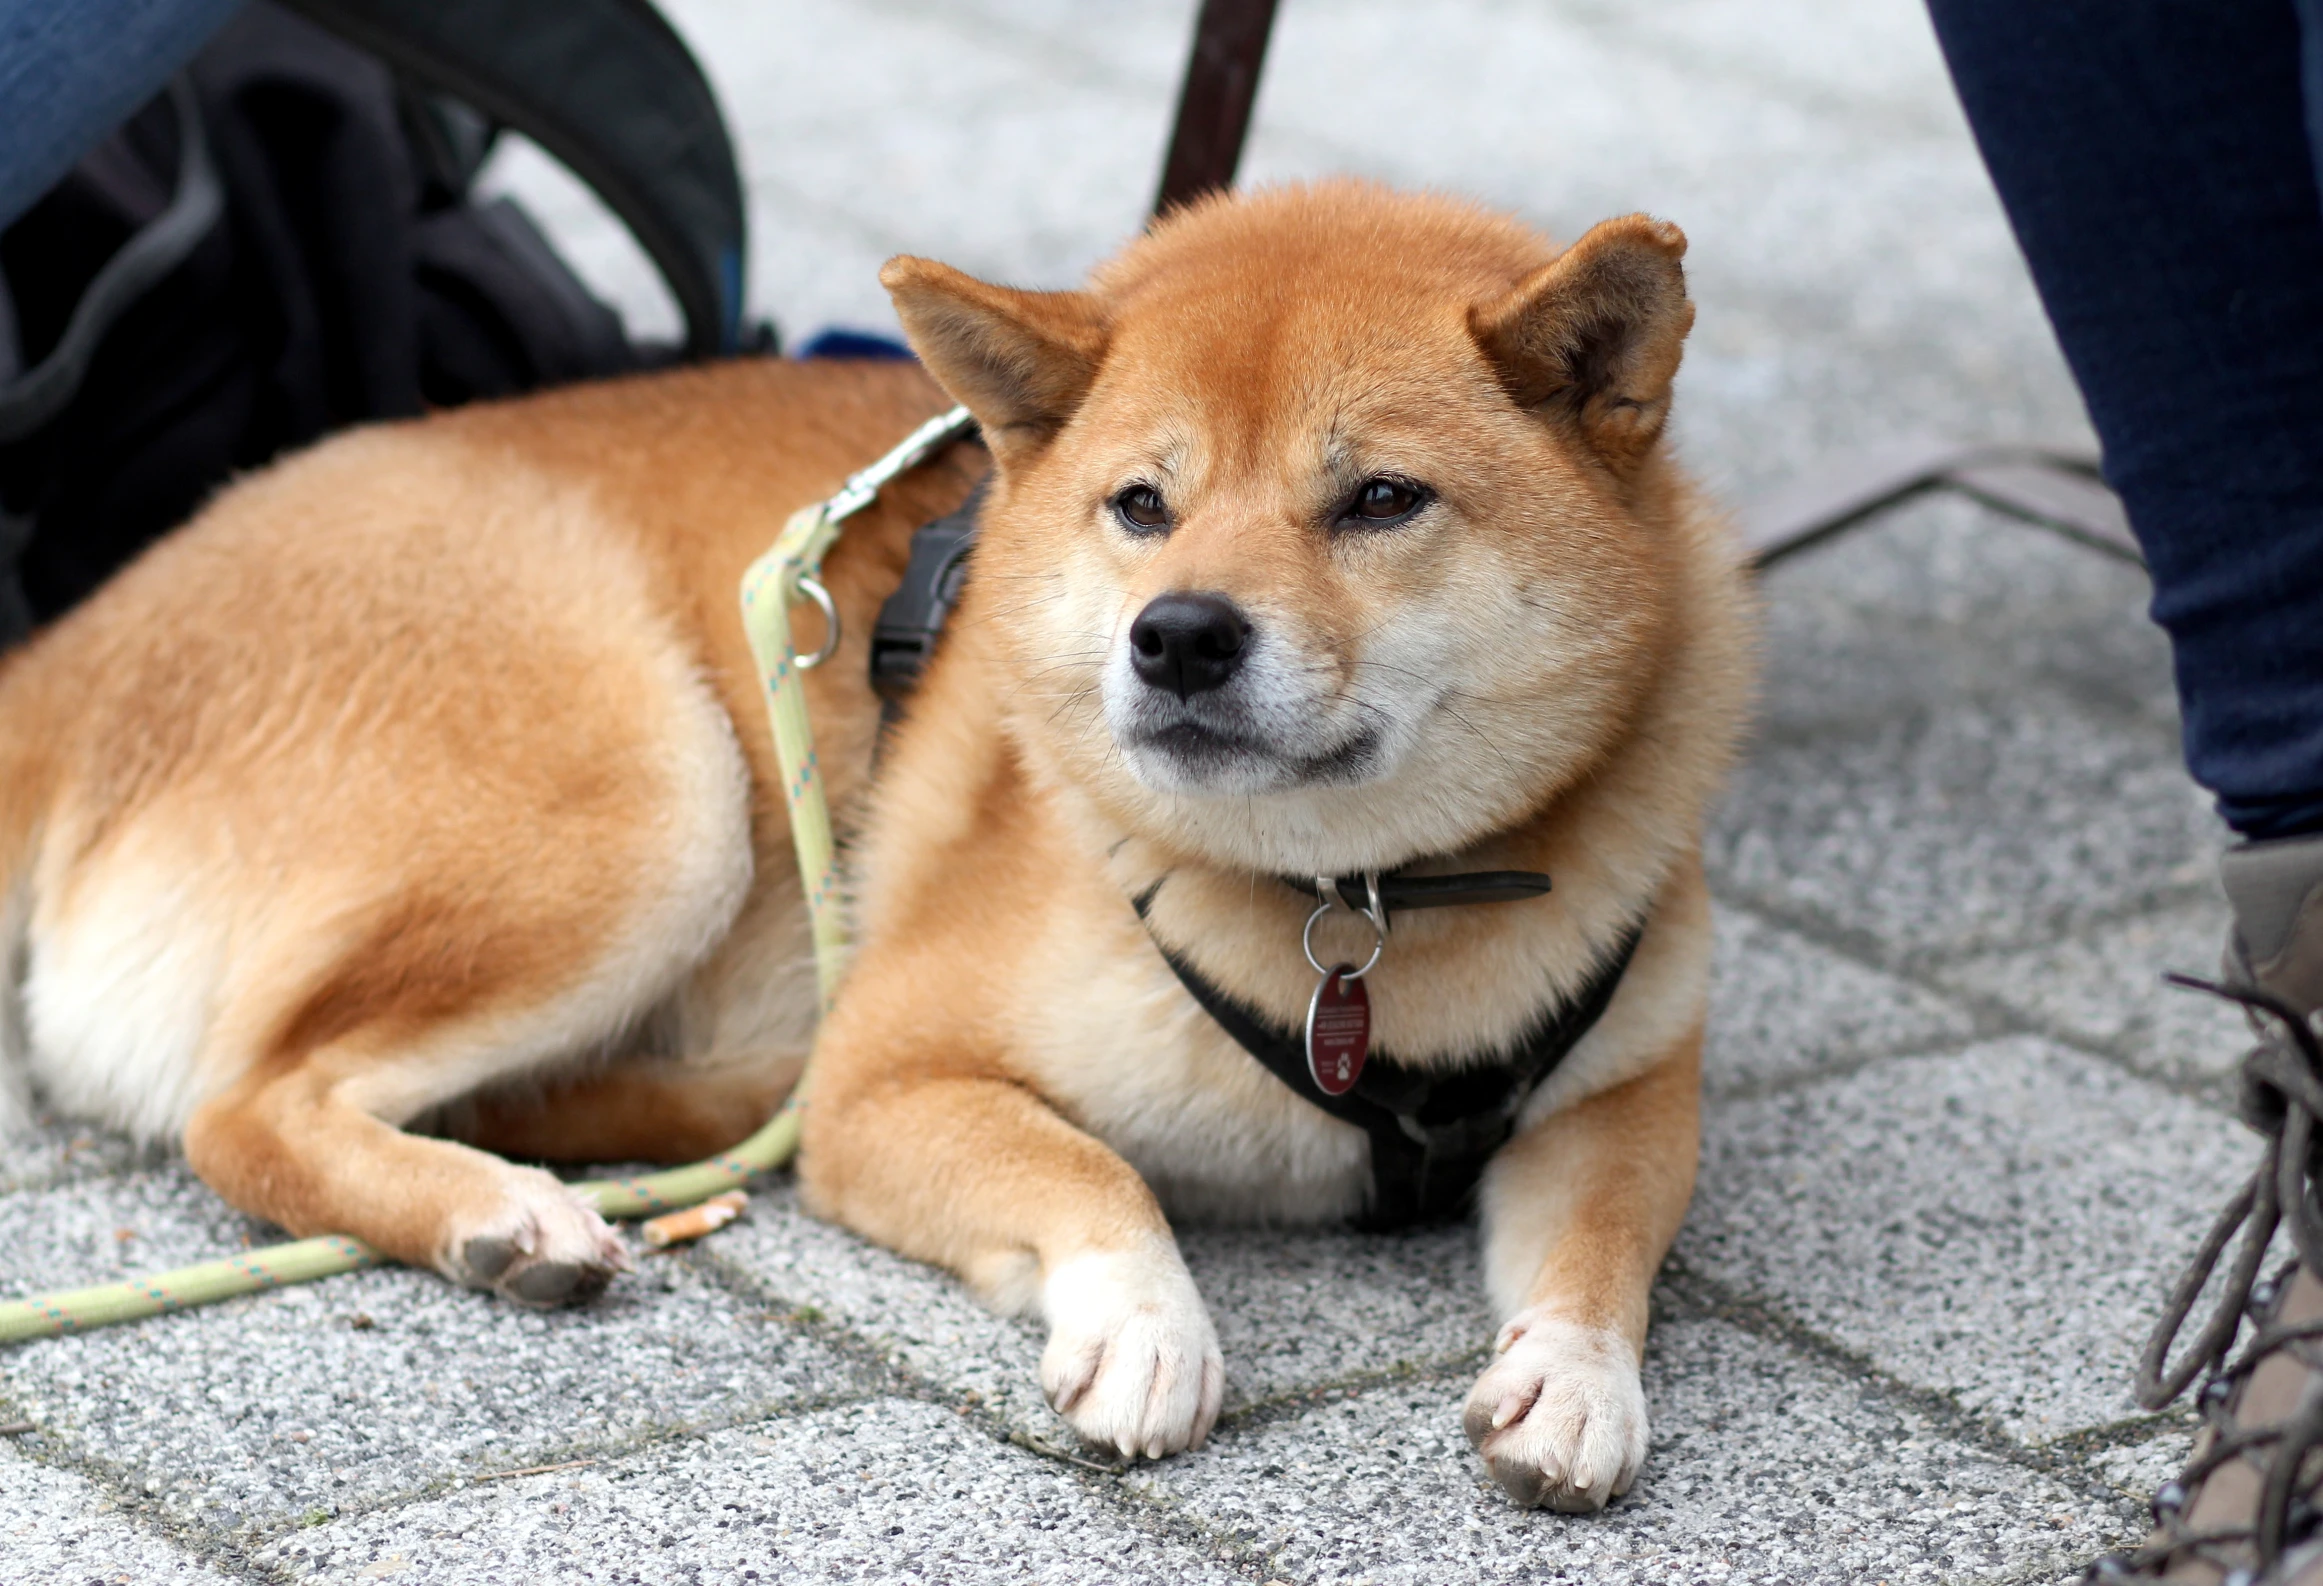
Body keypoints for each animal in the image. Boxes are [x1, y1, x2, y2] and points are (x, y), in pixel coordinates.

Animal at [0, 185, 1746, 1514]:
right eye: (1139, 504)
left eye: (1380, 498)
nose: (1175, 635)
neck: (1356, 909)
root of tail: (76, 645)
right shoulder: (885, 1080)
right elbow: (1093, 1165)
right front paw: (1147, 1322)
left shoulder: (1625, 1093)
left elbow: (1601, 1241)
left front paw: (1573, 1378)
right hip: (657, 799)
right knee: (246, 1104)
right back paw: (500, 1210)